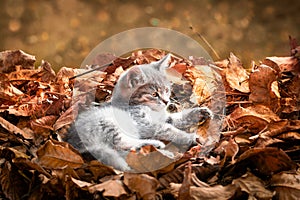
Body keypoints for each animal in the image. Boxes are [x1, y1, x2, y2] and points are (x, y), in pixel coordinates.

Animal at [67, 54, 212, 171]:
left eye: (166, 89)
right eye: (154, 94)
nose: (166, 102)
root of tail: (76, 144)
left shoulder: (163, 118)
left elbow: (177, 118)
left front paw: (199, 113)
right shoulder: (144, 123)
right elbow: (167, 129)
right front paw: (190, 137)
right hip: (108, 124)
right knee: (121, 145)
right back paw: (156, 146)